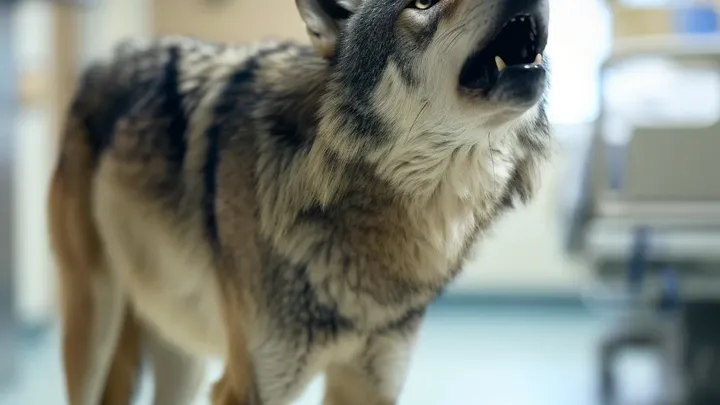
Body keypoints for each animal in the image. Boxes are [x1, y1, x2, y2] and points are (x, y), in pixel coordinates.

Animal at [48, 0, 551, 404]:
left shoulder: (372, 384)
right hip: (94, 328)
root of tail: (108, 57)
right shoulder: (248, 387)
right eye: (423, 2)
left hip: (180, 350)